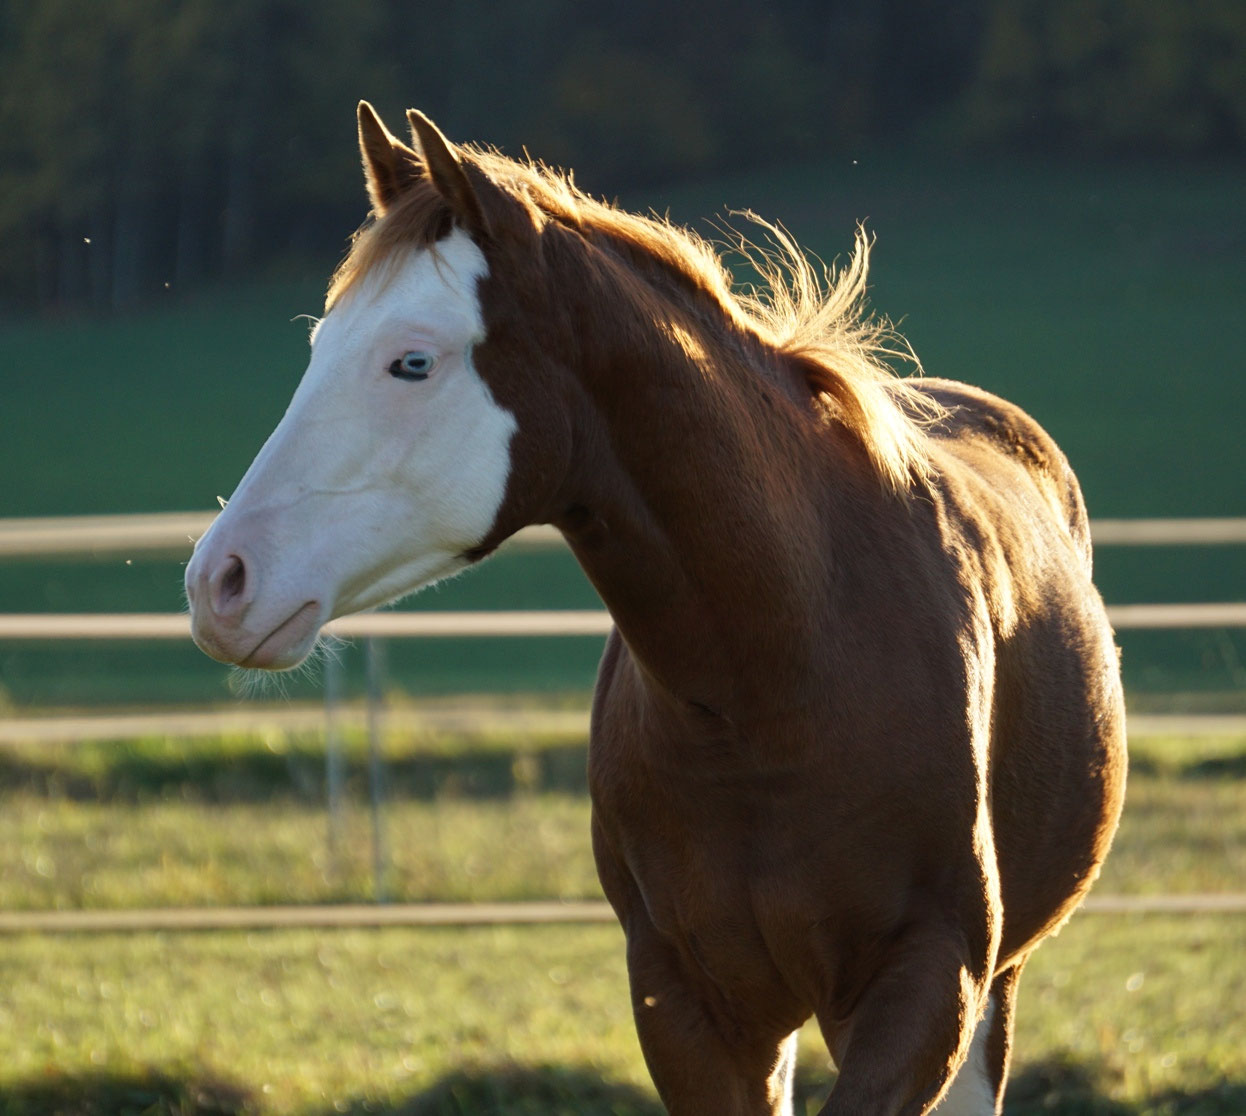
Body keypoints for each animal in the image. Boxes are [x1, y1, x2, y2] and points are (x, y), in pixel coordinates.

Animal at [184, 103, 1127, 1115]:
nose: (220, 583)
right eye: (321, 347)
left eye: (412, 362)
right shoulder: (686, 1003)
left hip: (990, 989)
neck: (783, 672)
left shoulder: (926, 987)